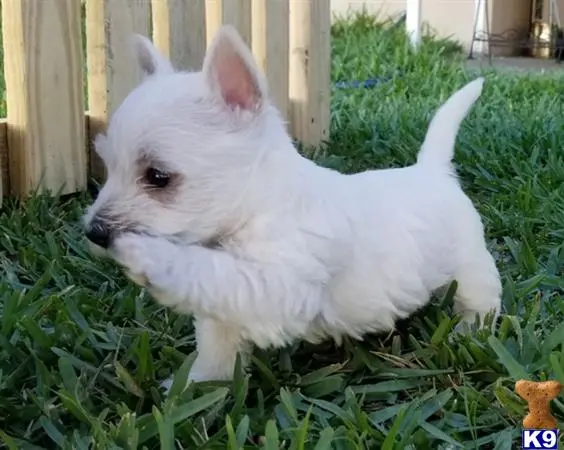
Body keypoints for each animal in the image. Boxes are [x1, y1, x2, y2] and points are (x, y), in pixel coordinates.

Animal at [82, 25, 502, 390]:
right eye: (108, 166)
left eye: (158, 176)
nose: (94, 232)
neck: (261, 204)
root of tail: (433, 169)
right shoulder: (233, 308)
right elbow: (215, 340)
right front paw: (197, 387)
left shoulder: (280, 286)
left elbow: (207, 270)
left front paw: (145, 255)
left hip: (470, 265)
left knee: (482, 298)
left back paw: (470, 332)